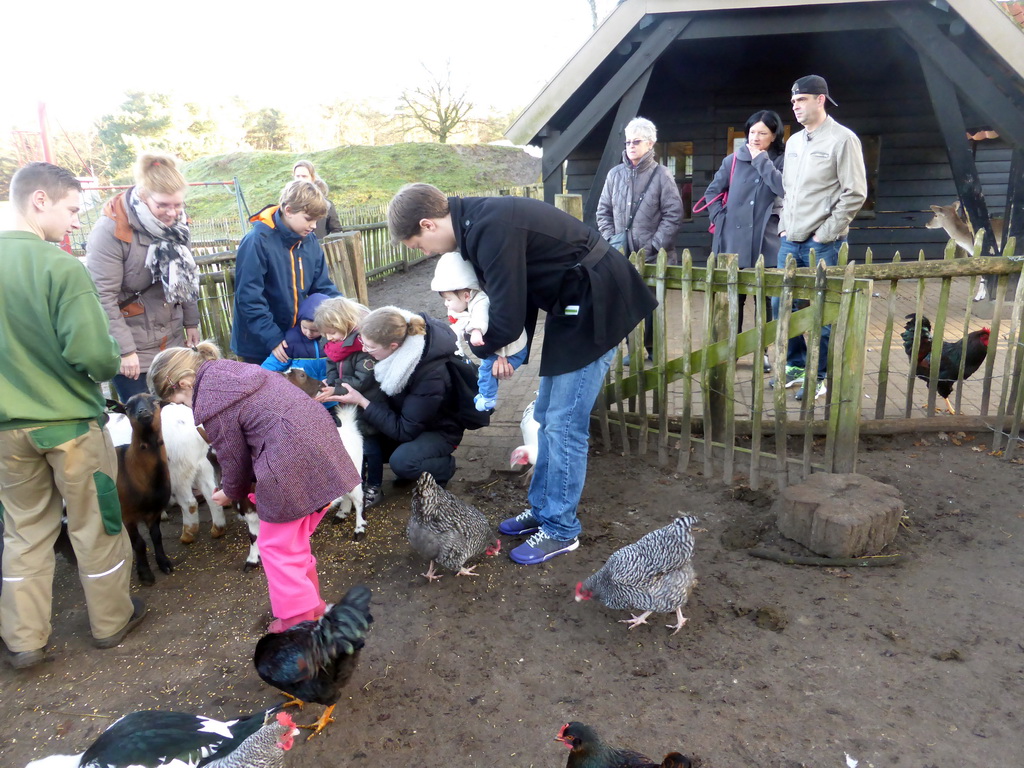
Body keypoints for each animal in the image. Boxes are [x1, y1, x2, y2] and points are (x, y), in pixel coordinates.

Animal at [112, 393, 173, 585]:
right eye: (127, 407)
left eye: (156, 401)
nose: (143, 411)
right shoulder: (127, 515)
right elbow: (139, 543)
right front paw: (145, 573)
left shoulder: (154, 511)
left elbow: (156, 536)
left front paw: (164, 563)